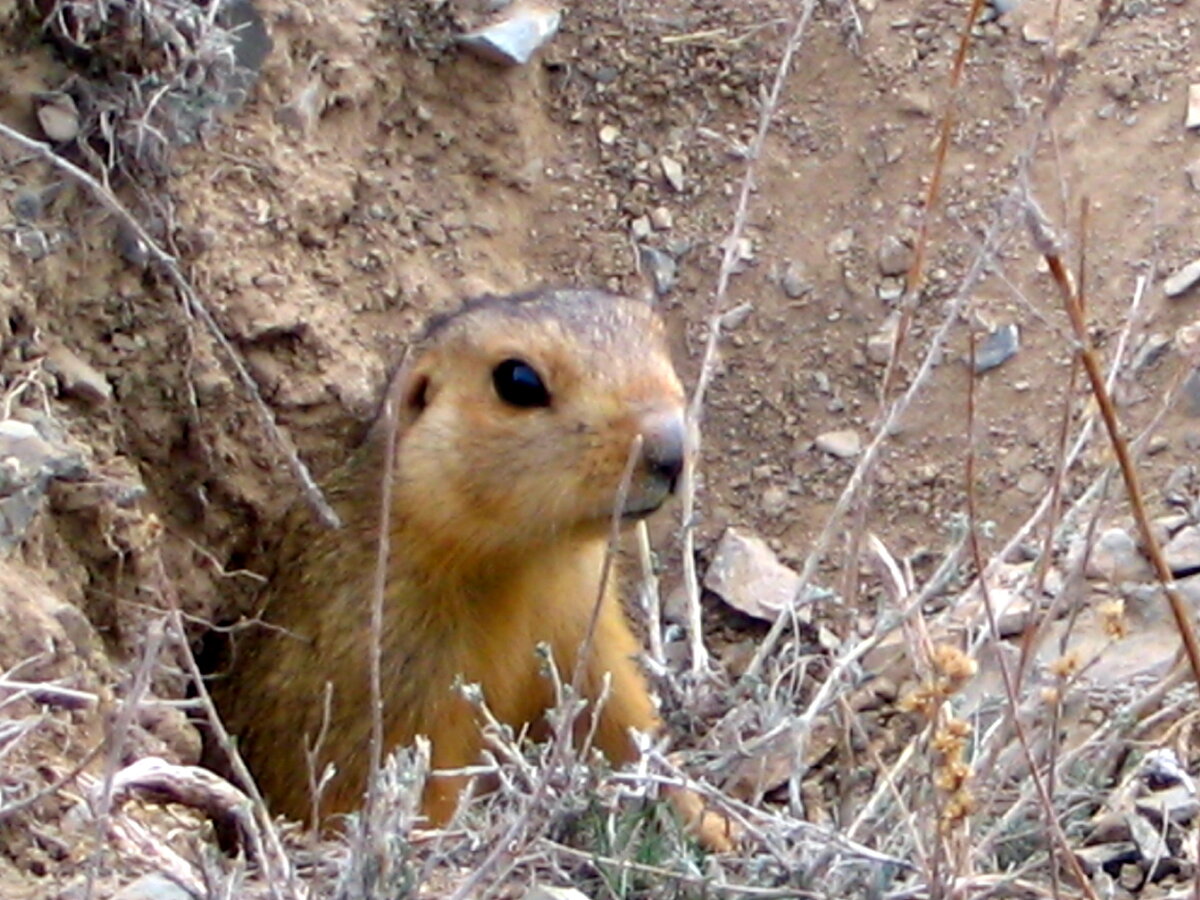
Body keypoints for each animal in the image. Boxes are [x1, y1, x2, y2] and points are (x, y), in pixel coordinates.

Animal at [213, 292, 729, 849]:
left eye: (657, 335)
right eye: (518, 381)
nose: (672, 450)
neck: (528, 562)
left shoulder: (587, 630)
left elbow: (624, 721)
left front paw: (714, 825)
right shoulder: (387, 667)